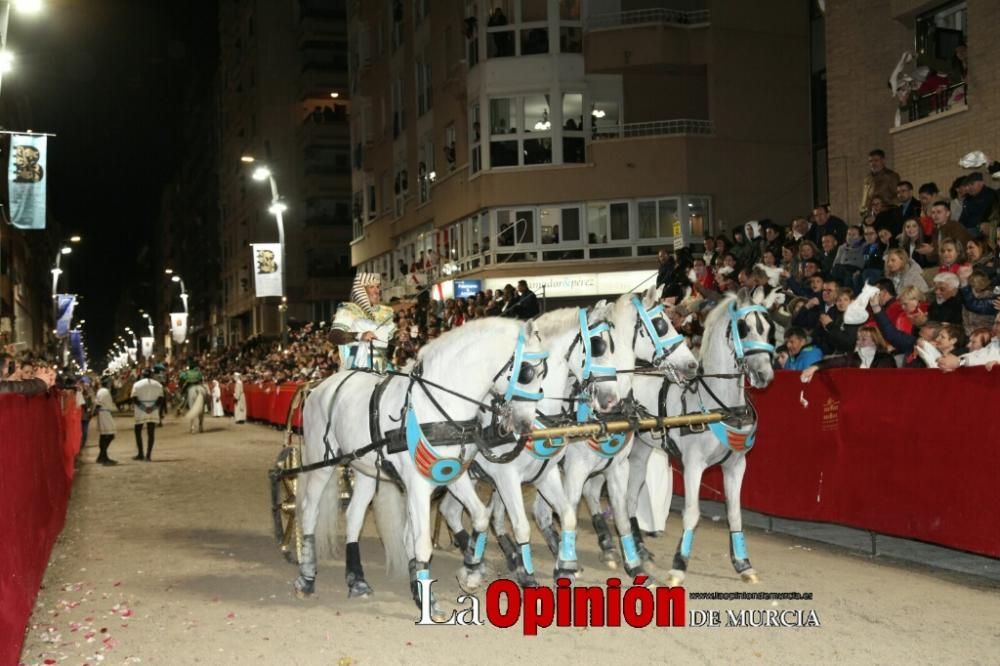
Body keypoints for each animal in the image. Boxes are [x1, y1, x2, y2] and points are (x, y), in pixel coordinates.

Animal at [296, 314, 548, 616]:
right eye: (527, 372)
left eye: (542, 375)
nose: (525, 425)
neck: (436, 407)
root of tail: (320, 386)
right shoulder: (417, 484)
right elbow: (421, 543)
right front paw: (427, 598)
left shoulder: (453, 473)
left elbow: (479, 516)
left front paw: (470, 572)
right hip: (320, 461)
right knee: (309, 510)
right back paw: (306, 577)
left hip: (366, 469)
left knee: (354, 516)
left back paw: (357, 580)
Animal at [440, 300, 620, 588]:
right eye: (599, 345)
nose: (611, 399)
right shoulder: (506, 477)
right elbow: (521, 525)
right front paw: (526, 573)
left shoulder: (546, 474)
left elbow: (567, 515)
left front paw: (565, 568)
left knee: (452, 511)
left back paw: (477, 560)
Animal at [536, 288, 700, 580]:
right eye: (661, 323)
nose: (692, 365)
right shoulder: (576, 468)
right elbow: (570, 509)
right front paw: (567, 562)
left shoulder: (618, 466)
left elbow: (622, 514)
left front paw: (633, 564)